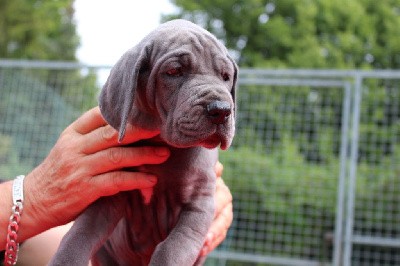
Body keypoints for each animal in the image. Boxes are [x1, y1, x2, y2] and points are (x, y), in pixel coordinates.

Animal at [50, 19, 238, 264]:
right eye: (174, 71)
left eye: (226, 76)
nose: (221, 110)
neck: (161, 142)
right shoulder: (109, 191)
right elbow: (80, 233)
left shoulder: (199, 203)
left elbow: (172, 248)